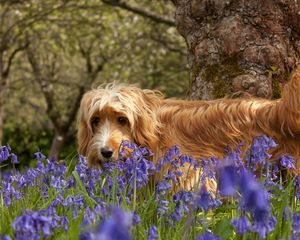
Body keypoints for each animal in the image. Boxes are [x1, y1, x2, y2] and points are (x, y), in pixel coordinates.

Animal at [77, 65, 300, 189]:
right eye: (95, 120)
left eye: (122, 119)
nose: (105, 152)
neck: (157, 133)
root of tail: (274, 108)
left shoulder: (189, 172)